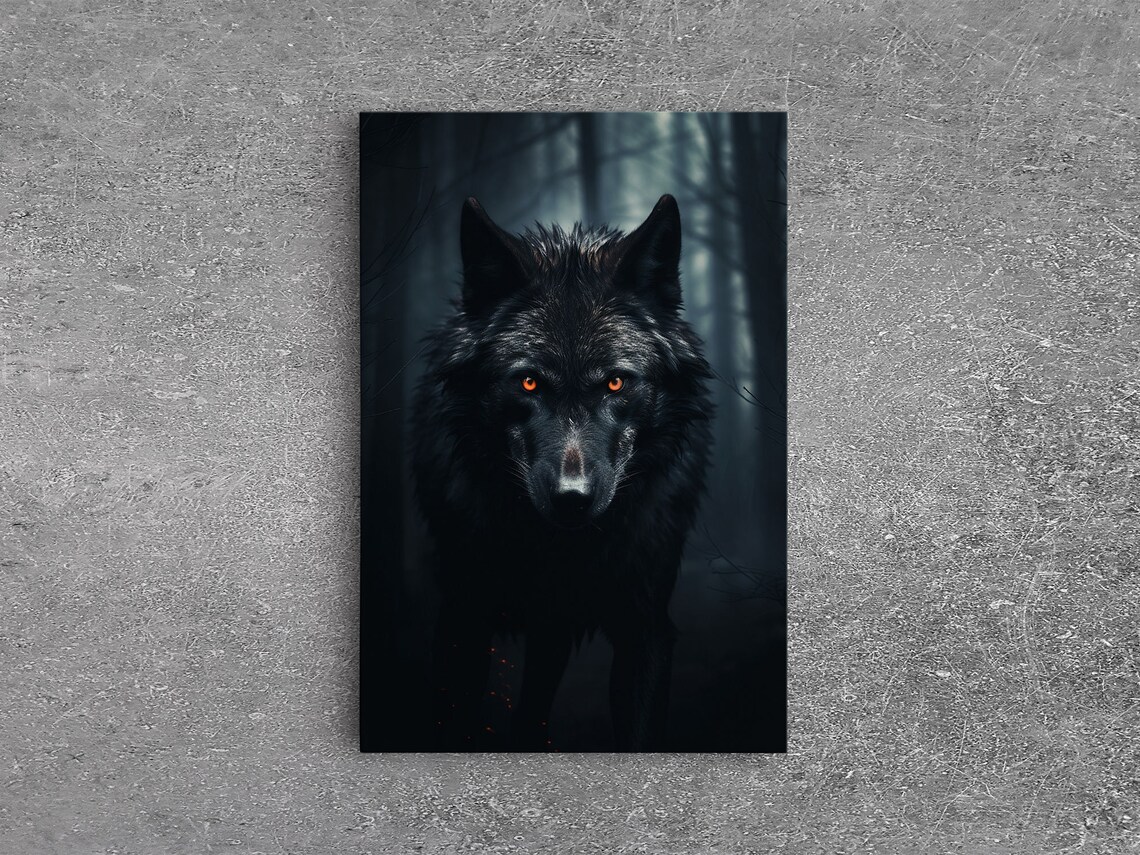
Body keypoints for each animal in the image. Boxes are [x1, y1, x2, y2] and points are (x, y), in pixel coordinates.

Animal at [411, 194, 713, 750]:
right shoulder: (464, 616)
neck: (561, 551)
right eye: (528, 382)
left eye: (616, 383)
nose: (572, 497)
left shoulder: (645, 626)